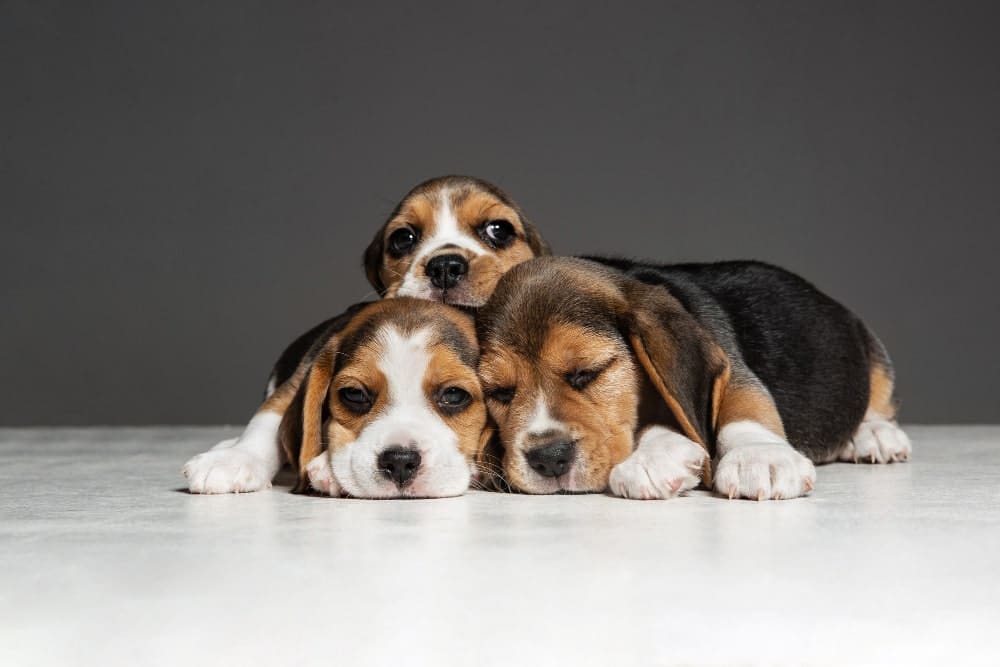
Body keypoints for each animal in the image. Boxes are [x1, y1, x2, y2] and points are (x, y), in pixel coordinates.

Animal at [186, 300, 490, 498]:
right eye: (354, 394)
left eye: (454, 395)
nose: (400, 462)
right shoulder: (299, 376)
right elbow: (267, 419)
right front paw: (234, 460)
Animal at [478, 256, 916, 500]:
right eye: (500, 392)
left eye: (588, 372)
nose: (548, 458)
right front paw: (655, 455)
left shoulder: (731, 367)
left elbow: (743, 408)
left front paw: (759, 456)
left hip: (873, 351)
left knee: (880, 404)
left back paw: (875, 435)